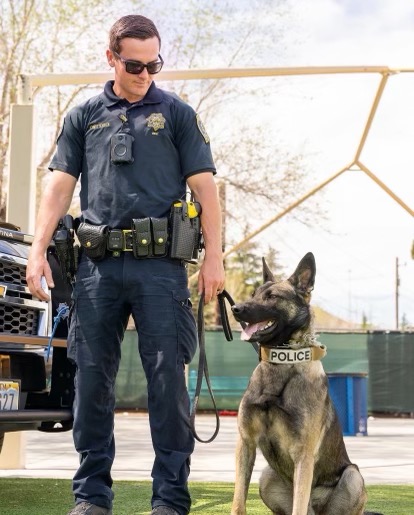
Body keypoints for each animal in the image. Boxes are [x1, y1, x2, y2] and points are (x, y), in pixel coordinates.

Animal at [230, 253, 382, 515]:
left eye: (272, 297)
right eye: (253, 294)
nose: (235, 309)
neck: (280, 366)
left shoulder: (303, 455)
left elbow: (298, 506)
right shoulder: (246, 443)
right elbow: (239, 501)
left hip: (353, 476)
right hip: (267, 476)